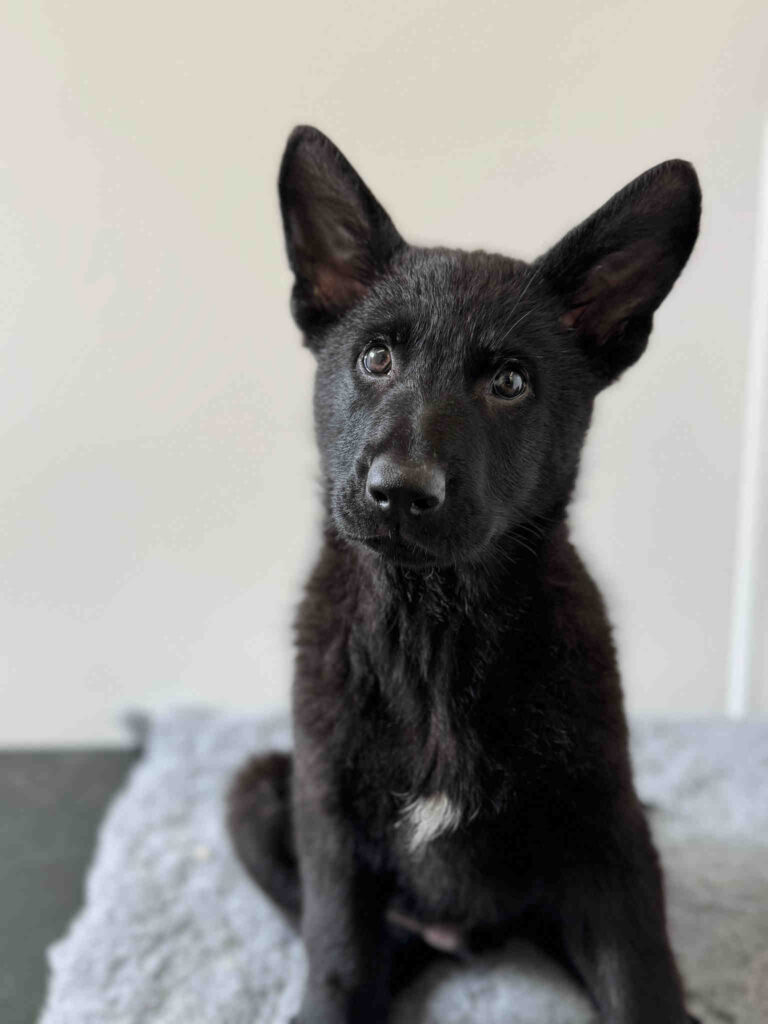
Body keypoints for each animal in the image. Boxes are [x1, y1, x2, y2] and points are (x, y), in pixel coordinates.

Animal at [228, 123, 704, 1019]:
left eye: (510, 382)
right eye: (375, 358)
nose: (399, 493)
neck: (434, 621)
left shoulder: (607, 837)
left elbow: (641, 977)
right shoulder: (330, 825)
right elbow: (337, 958)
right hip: (257, 789)